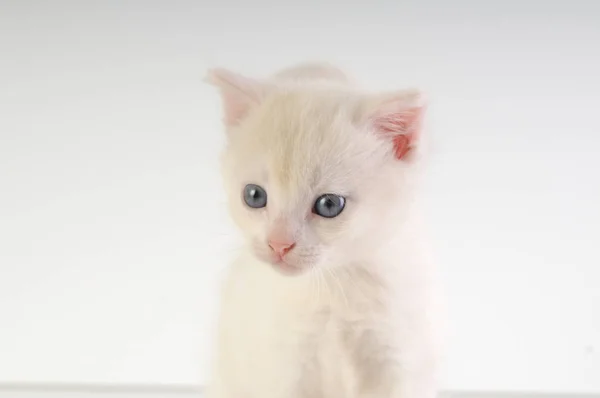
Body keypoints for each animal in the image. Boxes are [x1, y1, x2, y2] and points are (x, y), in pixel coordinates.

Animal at [204, 63, 442, 398]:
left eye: (329, 204)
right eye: (254, 196)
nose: (278, 244)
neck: (333, 288)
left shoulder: (400, 355)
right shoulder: (284, 363)